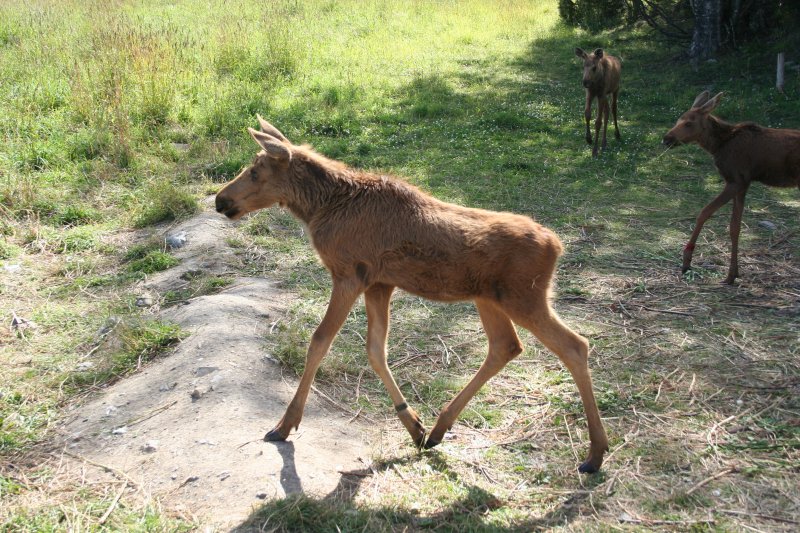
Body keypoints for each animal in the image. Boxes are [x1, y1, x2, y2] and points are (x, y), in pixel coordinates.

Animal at [216, 117, 608, 474]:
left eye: (255, 171)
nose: (220, 199)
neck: (319, 208)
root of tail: (556, 245)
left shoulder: (349, 274)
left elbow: (320, 342)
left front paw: (285, 424)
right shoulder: (379, 283)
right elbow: (376, 350)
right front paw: (413, 424)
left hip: (524, 298)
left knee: (575, 345)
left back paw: (595, 453)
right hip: (489, 299)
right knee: (506, 346)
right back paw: (438, 429)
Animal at [664, 91, 800, 282]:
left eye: (689, 123)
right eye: (677, 120)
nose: (666, 139)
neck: (717, 145)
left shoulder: (736, 180)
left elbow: (704, 213)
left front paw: (687, 260)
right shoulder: (743, 184)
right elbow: (735, 227)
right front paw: (732, 274)